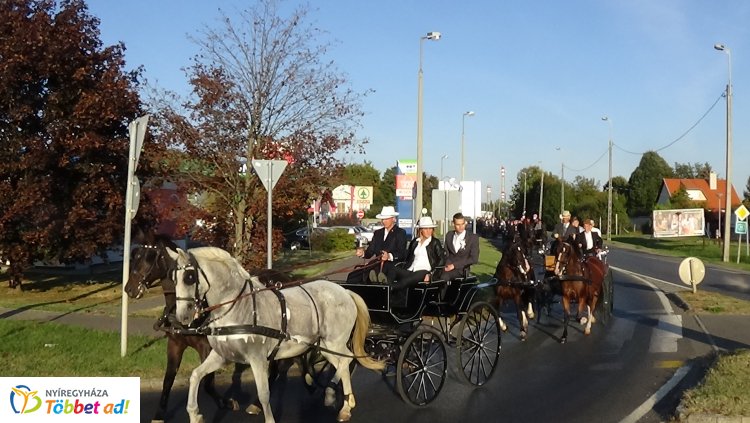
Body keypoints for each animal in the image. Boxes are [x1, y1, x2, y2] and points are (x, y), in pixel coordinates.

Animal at [167, 248, 384, 423]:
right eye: (173, 278)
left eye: (189, 277)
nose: (182, 317)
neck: (238, 306)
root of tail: (345, 291)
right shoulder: (222, 356)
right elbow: (195, 375)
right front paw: (195, 415)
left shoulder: (257, 359)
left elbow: (264, 394)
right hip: (324, 345)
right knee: (342, 364)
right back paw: (342, 402)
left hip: (335, 342)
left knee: (346, 361)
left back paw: (339, 400)